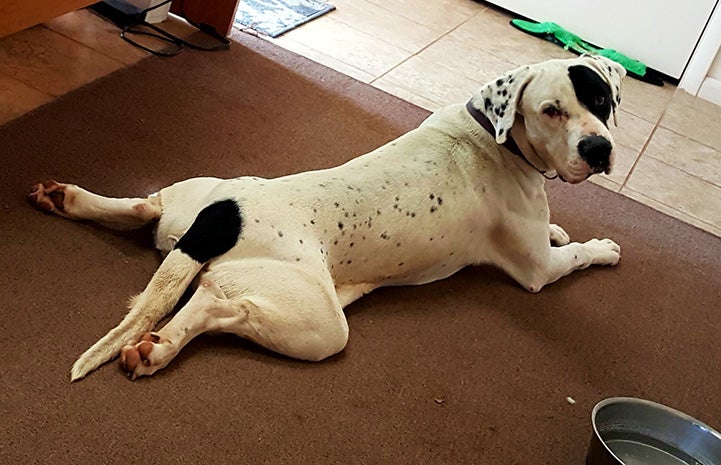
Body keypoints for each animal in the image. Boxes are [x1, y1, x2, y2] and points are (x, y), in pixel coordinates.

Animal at [28, 55, 624, 380]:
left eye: (601, 100)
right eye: (552, 110)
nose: (599, 148)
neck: (495, 135)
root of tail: (222, 217)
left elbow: (557, 233)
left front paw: (561, 226)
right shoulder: (537, 270)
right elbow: (573, 255)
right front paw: (602, 247)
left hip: (197, 204)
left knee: (145, 210)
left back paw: (70, 202)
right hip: (318, 321)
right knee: (219, 309)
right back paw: (161, 347)